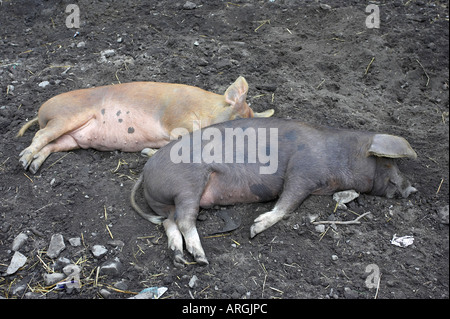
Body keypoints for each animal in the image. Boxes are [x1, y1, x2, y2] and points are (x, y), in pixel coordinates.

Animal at [129, 117, 414, 268]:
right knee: (185, 221)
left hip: (167, 203)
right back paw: (202, 259)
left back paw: (178, 257)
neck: (340, 158)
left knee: (169, 222)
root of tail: (147, 169)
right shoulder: (302, 170)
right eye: (388, 163)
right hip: (188, 185)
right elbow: (287, 203)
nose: (410, 188)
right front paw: (254, 229)